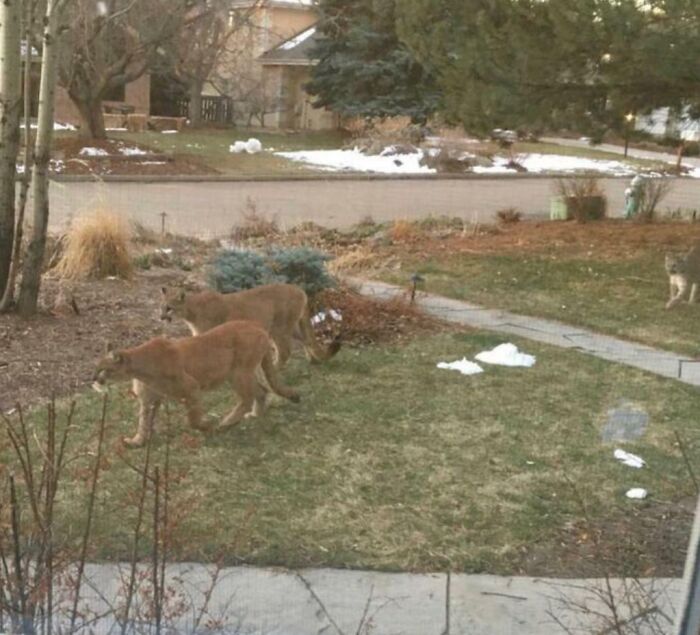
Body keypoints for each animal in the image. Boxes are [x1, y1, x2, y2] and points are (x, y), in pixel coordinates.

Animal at [93, 320, 300, 448]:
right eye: (95, 367)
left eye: (104, 369)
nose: (94, 379)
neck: (140, 368)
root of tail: (256, 325)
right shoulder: (149, 399)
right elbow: (143, 421)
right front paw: (137, 441)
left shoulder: (191, 388)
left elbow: (192, 419)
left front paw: (207, 426)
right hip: (243, 373)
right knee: (262, 390)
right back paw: (255, 415)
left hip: (238, 373)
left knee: (248, 397)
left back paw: (226, 422)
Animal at [160, 283, 340, 366]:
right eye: (162, 306)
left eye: (169, 308)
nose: (161, 317)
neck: (191, 311)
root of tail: (299, 289)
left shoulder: (208, 334)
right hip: (289, 327)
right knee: (307, 339)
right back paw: (313, 360)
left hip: (279, 328)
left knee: (285, 351)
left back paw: (276, 368)